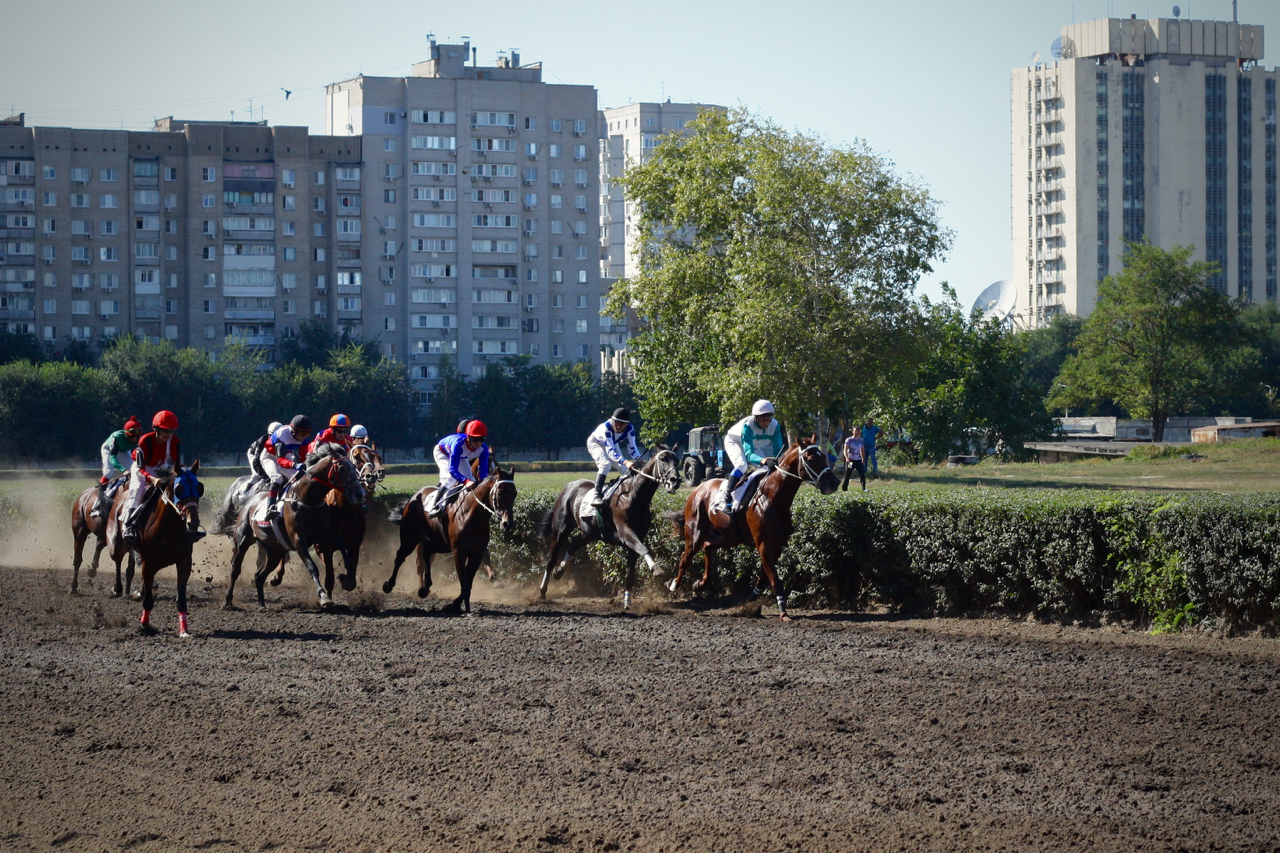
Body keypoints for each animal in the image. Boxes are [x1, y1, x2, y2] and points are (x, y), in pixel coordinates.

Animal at [104, 461, 204, 635]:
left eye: (199, 487)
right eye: (179, 488)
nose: (193, 523)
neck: (169, 528)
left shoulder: (184, 561)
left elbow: (181, 598)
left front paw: (184, 630)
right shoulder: (148, 563)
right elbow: (149, 600)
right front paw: (144, 624)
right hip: (115, 544)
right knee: (117, 560)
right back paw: (118, 588)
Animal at [224, 440, 366, 607]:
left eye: (354, 468)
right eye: (342, 468)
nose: (360, 494)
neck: (307, 498)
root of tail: (248, 501)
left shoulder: (324, 533)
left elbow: (340, 543)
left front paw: (348, 577)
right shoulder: (298, 540)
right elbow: (312, 567)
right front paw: (323, 597)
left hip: (274, 550)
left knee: (259, 575)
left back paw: (262, 604)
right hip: (243, 540)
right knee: (235, 569)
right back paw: (228, 601)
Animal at [381, 461, 517, 614]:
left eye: (515, 493)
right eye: (499, 492)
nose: (507, 523)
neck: (471, 513)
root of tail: (413, 497)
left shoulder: (476, 552)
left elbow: (469, 580)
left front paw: (457, 604)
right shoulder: (458, 551)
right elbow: (464, 581)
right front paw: (458, 605)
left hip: (439, 543)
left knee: (426, 552)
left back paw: (424, 588)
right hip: (410, 537)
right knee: (401, 556)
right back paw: (389, 585)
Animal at [537, 445, 686, 604]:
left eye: (677, 460)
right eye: (663, 459)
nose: (675, 480)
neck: (634, 496)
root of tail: (569, 486)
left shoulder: (635, 538)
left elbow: (630, 573)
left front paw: (627, 602)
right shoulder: (625, 532)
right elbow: (643, 548)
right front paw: (657, 569)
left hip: (590, 532)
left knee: (573, 544)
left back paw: (559, 571)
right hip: (560, 529)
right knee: (551, 558)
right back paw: (543, 591)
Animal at [665, 438, 834, 617]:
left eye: (824, 456)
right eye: (810, 458)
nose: (834, 482)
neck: (772, 498)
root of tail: (697, 489)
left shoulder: (778, 545)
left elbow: (765, 576)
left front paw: (751, 599)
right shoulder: (763, 544)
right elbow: (773, 578)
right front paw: (783, 612)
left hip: (729, 537)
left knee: (708, 547)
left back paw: (700, 584)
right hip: (695, 534)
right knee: (685, 558)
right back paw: (674, 585)